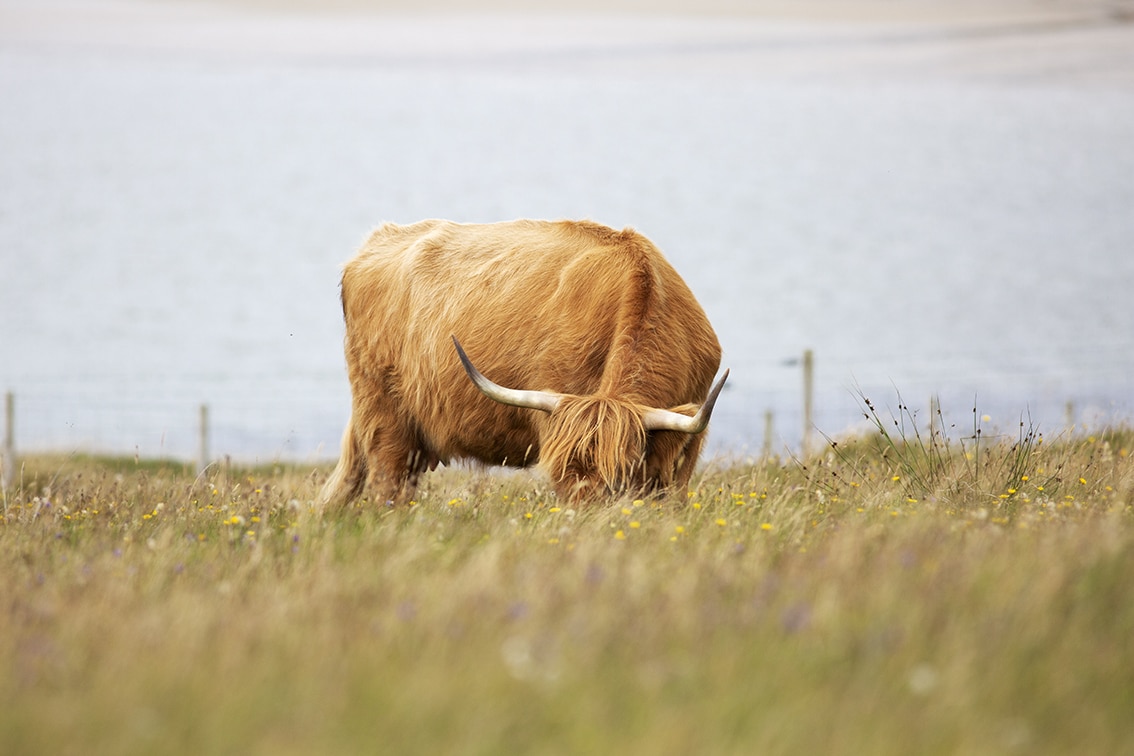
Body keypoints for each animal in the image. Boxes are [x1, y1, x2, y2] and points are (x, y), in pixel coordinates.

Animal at [319, 217, 725, 507]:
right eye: (560, 479)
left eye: (618, 480)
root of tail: (375, 243)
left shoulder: (687, 442)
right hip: (384, 416)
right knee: (388, 490)